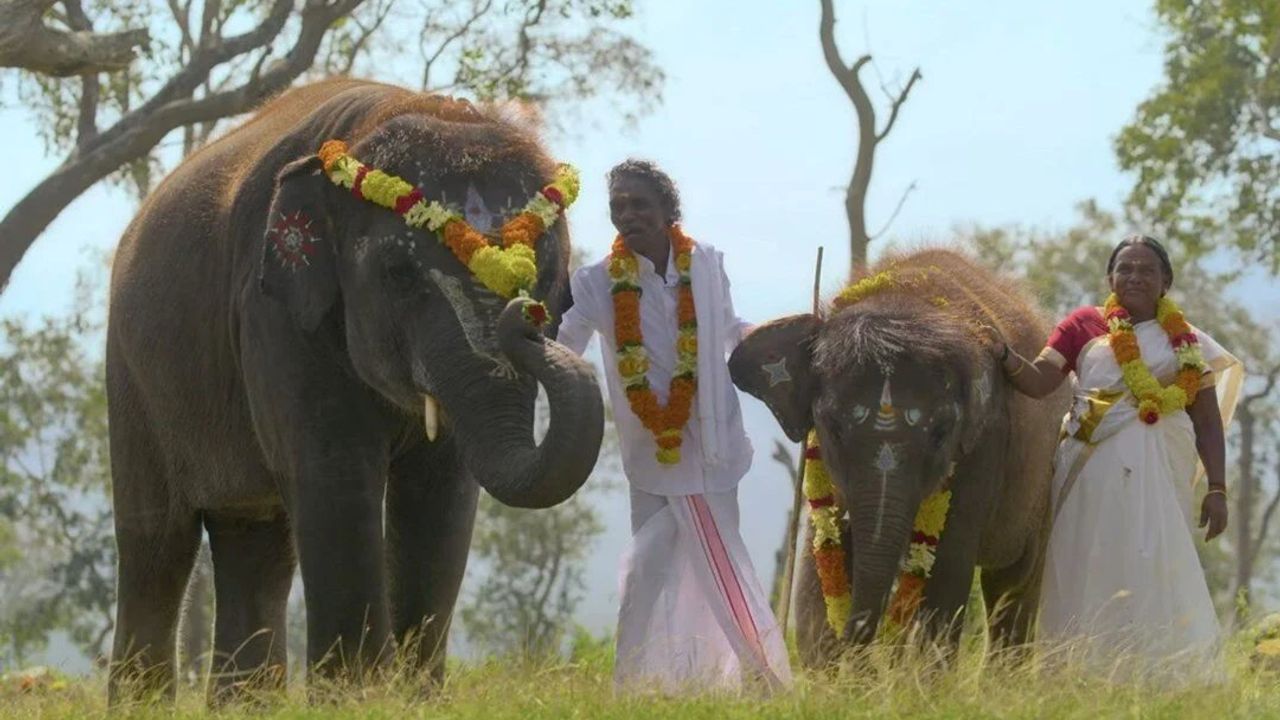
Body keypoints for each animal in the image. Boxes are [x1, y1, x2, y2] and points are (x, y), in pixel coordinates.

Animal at [104, 79, 604, 702]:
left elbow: (442, 491)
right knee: (156, 544)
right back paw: (140, 703)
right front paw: (356, 697)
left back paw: (247, 706)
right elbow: (335, 473)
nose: (523, 312)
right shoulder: (274, 313)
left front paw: (416, 700)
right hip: (132, 378)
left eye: (553, 278)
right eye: (399, 274)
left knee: (255, 541)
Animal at [732, 249, 1070, 666]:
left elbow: (947, 566)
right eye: (832, 427)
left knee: (1013, 583)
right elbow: (817, 555)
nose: (862, 652)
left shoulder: (987, 442)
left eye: (941, 433)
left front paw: (919, 677)